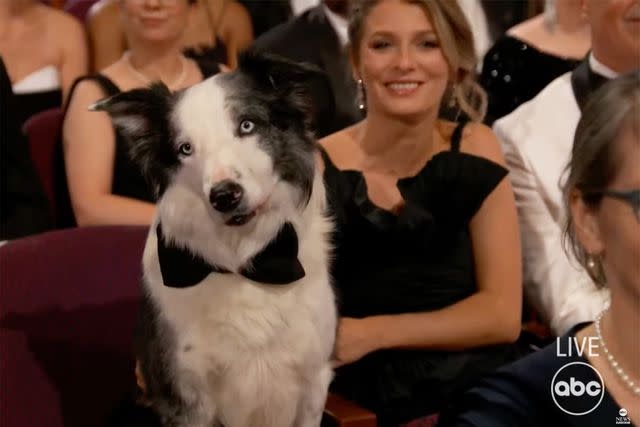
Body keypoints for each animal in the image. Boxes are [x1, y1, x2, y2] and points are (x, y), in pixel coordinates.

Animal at [96, 52, 336, 427]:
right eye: (185, 149)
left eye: (247, 126)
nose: (224, 196)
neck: (240, 261)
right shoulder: (184, 396)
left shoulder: (314, 380)